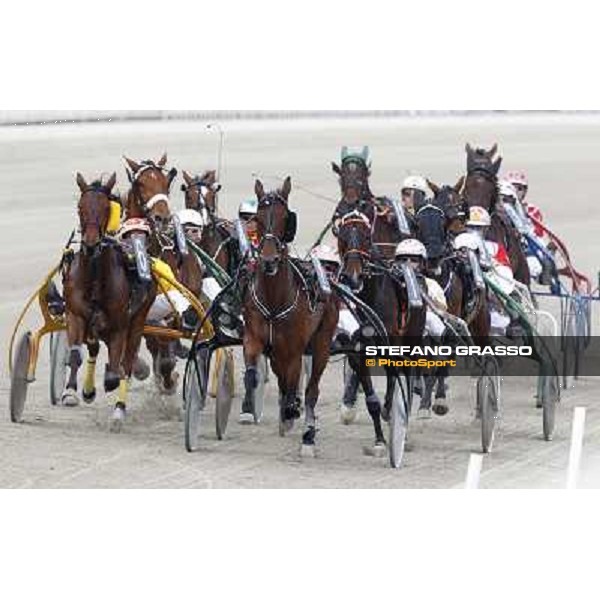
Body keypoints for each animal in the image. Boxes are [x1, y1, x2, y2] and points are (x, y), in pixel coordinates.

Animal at [63, 173, 157, 432]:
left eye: (106, 208)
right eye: (80, 207)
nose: (91, 243)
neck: (95, 276)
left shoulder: (119, 325)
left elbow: (117, 372)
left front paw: (110, 387)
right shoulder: (75, 315)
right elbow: (76, 354)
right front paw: (73, 393)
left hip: (138, 319)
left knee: (126, 362)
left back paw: (119, 410)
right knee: (95, 347)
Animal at [240, 177, 342, 454]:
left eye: (286, 217)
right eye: (258, 218)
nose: (268, 260)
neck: (275, 300)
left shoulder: (295, 349)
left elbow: (294, 384)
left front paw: (291, 411)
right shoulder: (254, 338)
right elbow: (253, 374)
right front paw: (249, 408)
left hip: (322, 342)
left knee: (312, 389)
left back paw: (306, 430)